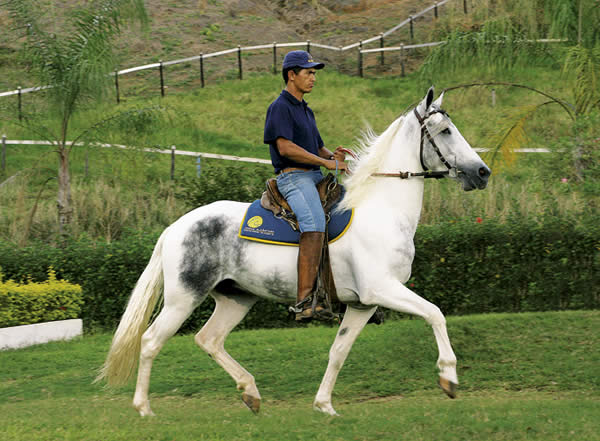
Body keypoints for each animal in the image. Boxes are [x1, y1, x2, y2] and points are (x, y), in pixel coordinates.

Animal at [96, 87, 492, 416]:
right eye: (445, 131)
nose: (483, 172)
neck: (381, 209)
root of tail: (174, 228)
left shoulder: (363, 304)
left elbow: (339, 351)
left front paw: (324, 405)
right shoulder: (382, 289)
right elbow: (435, 314)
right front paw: (449, 377)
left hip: (235, 298)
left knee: (209, 339)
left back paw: (250, 393)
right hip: (183, 298)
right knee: (151, 341)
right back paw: (144, 408)